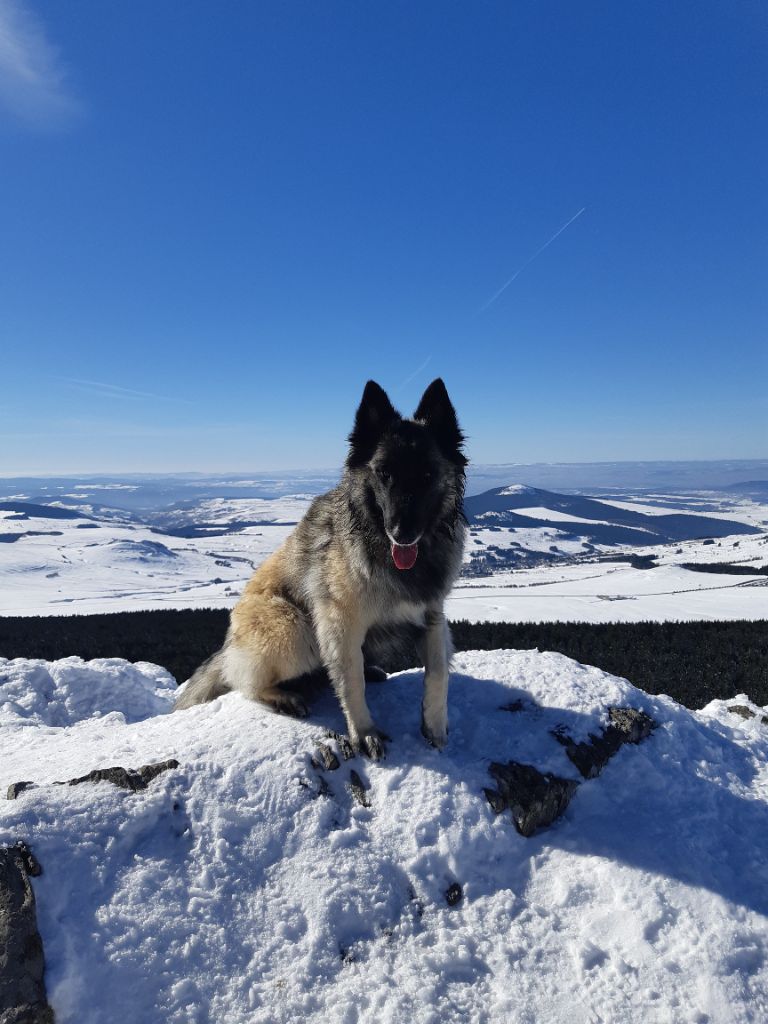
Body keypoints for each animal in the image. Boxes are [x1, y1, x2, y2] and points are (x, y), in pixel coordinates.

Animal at [177, 380, 466, 757]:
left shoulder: (432, 616)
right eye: (384, 474)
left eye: (427, 475)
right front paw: (365, 731)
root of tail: (229, 645)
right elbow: (352, 683)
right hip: (293, 628)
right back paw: (284, 696)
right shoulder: (340, 624)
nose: (402, 533)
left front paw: (434, 726)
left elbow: (438, 675)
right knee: (246, 683)